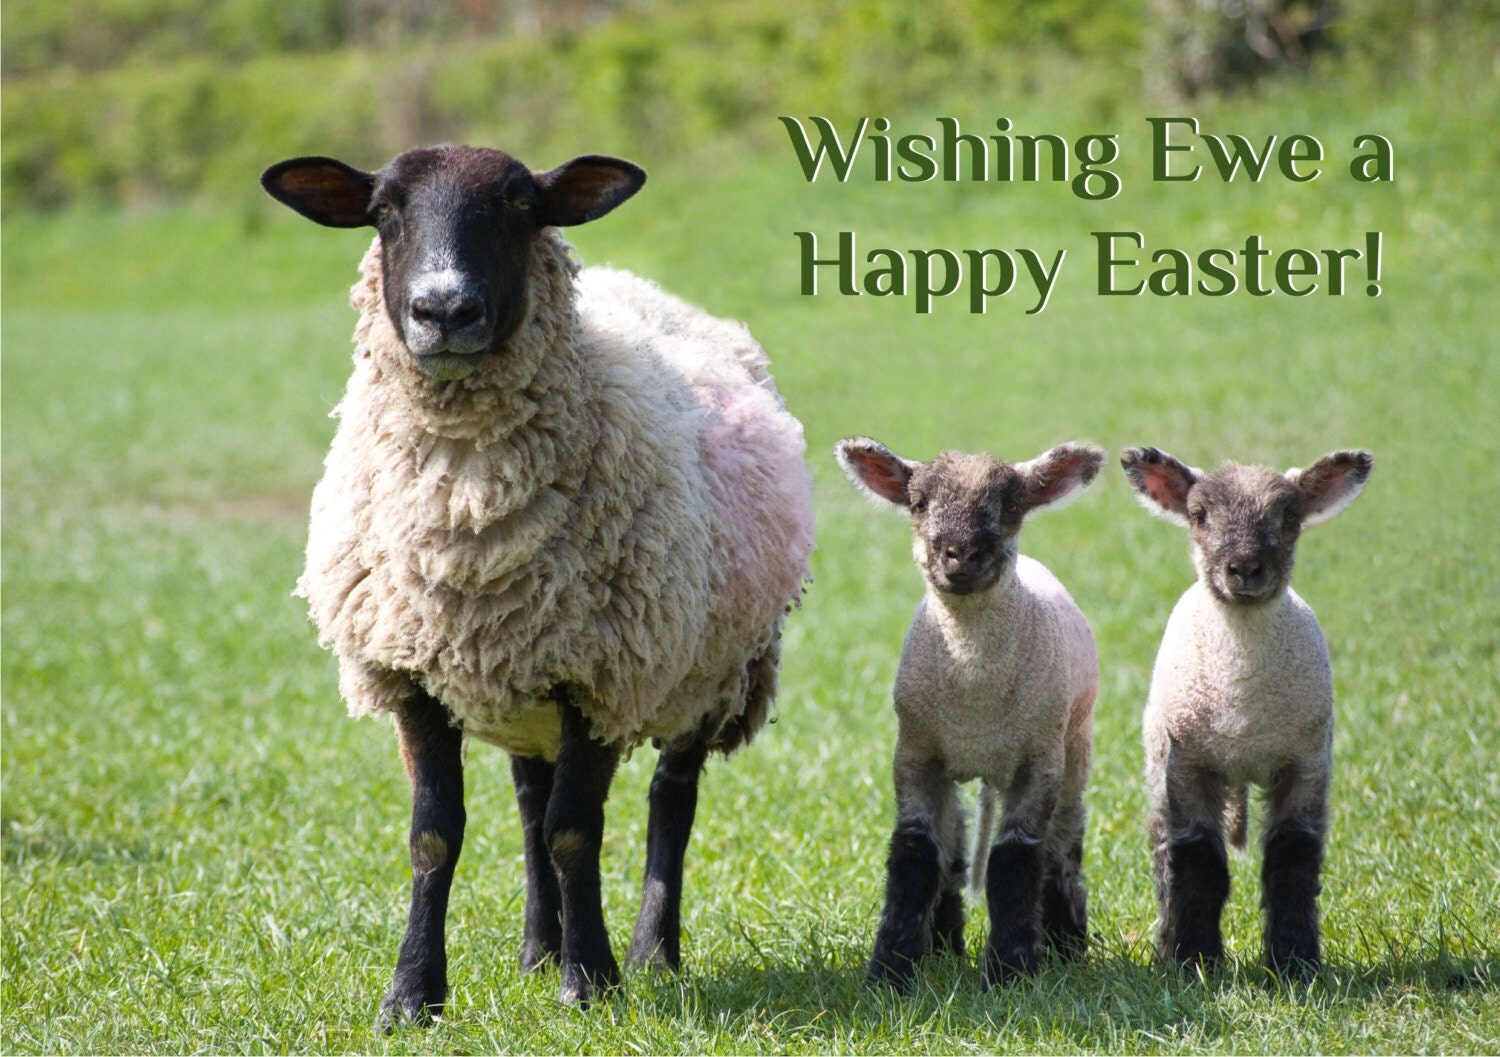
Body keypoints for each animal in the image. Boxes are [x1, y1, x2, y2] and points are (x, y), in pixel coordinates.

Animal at [259, 145, 814, 1025]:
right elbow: (436, 834)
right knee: (528, 803)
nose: (443, 308)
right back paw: (537, 947)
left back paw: (652, 951)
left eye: (522, 205)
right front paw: (412, 993)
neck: (469, 512)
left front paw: (592, 980)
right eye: (384, 211)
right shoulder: (411, 671)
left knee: (669, 798)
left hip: (713, 668)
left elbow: (575, 832)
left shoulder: (602, 674)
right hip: (525, 684)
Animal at [835, 436, 1104, 990]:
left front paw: (1011, 970)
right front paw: (890, 971)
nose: (961, 552)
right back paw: (944, 944)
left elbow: (1015, 859)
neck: (974, 688)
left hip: (1074, 742)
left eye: (1013, 506)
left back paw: (1066, 945)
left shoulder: (1038, 761)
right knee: (955, 844)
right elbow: (915, 855)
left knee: (1064, 840)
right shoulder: (915, 754)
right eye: (918, 504)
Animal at [1120, 446, 1373, 979]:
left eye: (1291, 516)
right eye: (1199, 515)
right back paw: (1165, 944)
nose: (1245, 568)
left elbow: (1292, 861)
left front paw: (1295, 963)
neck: (1243, 709)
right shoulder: (1187, 765)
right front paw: (1196, 961)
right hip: (1158, 758)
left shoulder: (1307, 763)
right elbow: (1197, 862)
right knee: (1163, 853)